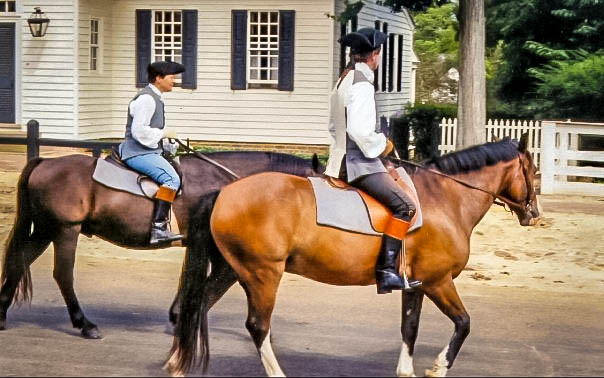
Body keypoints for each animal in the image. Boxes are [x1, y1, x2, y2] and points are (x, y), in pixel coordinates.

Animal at [0, 151, 324, 340]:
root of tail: (44, 161)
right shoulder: (222, 252)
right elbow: (216, 283)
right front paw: (183, 321)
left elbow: (191, 280)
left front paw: (177, 315)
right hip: (65, 230)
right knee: (63, 275)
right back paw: (85, 324)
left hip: (46, 229)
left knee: (19, 261)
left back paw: (2, 315)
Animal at [166, 134, 544, 376]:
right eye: (533, 172)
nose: (534, 214)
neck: (445, 197)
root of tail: (224, 192)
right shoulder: (438, 282)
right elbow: (464, 323)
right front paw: (438, 367)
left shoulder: (416, 285)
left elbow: (410, 328)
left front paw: (406, 370)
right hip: (262, 275)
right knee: (257, 326)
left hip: (231, 269)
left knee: (196, 307)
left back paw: (176, 363)